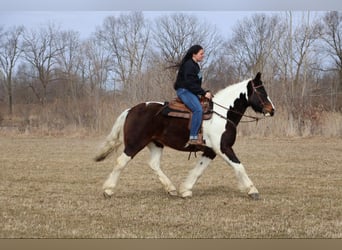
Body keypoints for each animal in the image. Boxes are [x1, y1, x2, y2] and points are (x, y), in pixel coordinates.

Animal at [94, 72, 276, 199]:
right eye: (261, 91)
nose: (272, 110)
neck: (222, 114)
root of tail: (131, 110)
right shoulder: (223, 148)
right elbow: (239, 166)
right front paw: (252, 190)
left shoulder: (210, 151)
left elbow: (199, 170)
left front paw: (186, 190)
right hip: (134, 144)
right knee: (121, 162)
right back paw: (108, 190)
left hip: (155, 144)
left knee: (154, 164)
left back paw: (171, 189)